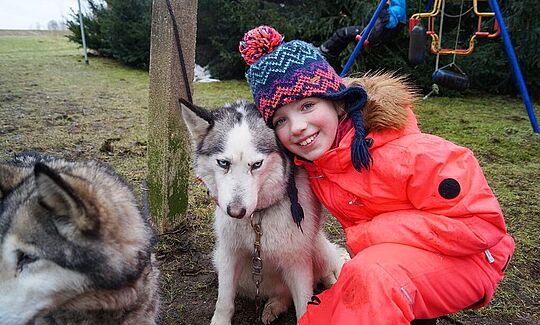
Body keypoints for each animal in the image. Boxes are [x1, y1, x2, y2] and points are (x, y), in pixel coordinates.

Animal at [179, 100, 344, 322]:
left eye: (257, 164)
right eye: (223, 163)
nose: (236, 212)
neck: (258, 217)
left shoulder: (297, 260)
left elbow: (304, 305)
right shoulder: (229, 254)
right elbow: (223, 302)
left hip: (317, 248)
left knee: (331, 266)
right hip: (224, 263)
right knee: (283, 295)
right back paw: (274, 306)